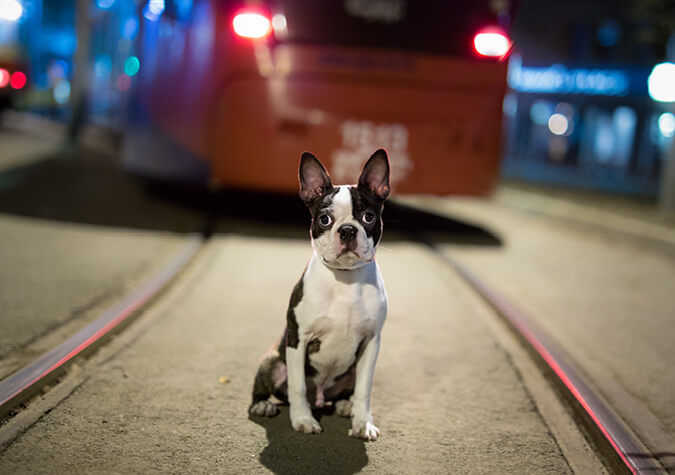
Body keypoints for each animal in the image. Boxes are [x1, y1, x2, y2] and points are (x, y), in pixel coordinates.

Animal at [250, 149, 390, 442]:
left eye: (368, 217)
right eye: (324, 219)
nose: (347, 230)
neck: (345, 280)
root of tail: (321, 399)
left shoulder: (371, 342)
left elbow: (364, 389)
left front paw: (363, 423)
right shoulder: (299, 338)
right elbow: (298, 386)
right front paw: (303, 420)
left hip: (351, 370)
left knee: (348, 391)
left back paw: (346, 405)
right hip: (271, 360)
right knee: (273, 388)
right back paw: (262, 404)